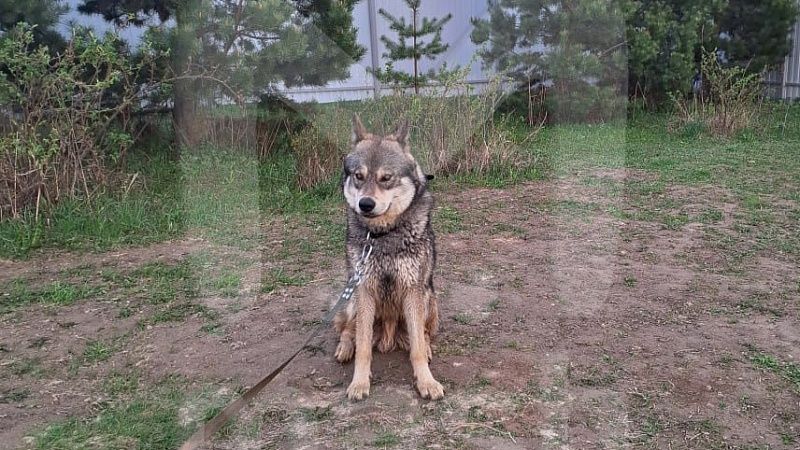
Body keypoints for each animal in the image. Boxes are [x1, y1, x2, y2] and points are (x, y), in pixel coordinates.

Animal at [333, 114, 444, 401]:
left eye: (386, 178)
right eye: (358, 176)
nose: (365, 204)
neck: (381, 237)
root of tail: (389, 336)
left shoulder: (413, 289)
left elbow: (417, 349)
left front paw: (426, 382)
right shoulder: (364, 290)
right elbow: (363, 348)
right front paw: (359, 383)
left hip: (429, 299)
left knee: (423, 335)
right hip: (352, 300)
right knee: (347, 331)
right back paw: (344, 349)